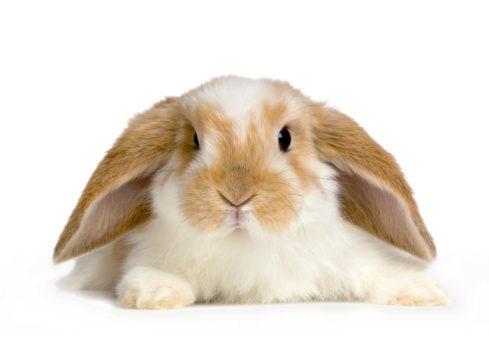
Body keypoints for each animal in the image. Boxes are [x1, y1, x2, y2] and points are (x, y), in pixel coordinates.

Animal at [52, 75, 446, 308]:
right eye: (195, 140)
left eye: (285, 137)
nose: (237, 196)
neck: (247, 244)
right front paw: (155, 293)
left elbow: (381, 275)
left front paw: (424, 293)